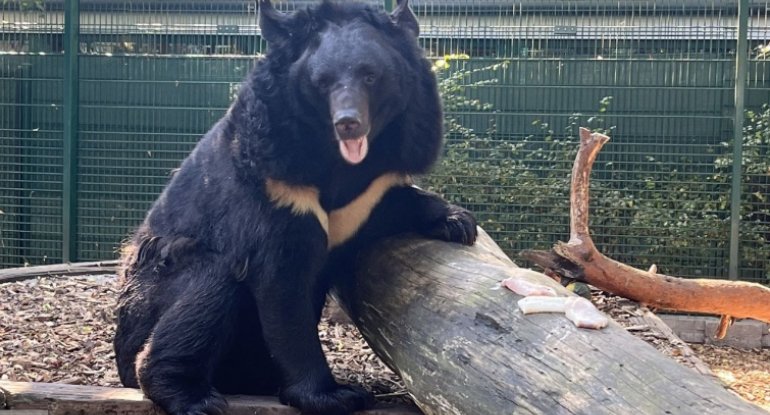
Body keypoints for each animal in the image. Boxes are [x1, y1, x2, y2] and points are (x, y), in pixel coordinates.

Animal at [113, 0, 474, 414]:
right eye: (322, 82)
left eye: (370, 76)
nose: (348, 123)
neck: (336, 159)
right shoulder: (275, 187)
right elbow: (283, 286)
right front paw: (333, 395)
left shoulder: (369, 189)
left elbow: (392, 201)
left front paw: (457, 222)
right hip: (150, 293)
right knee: (209, 284)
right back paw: (193, 397)